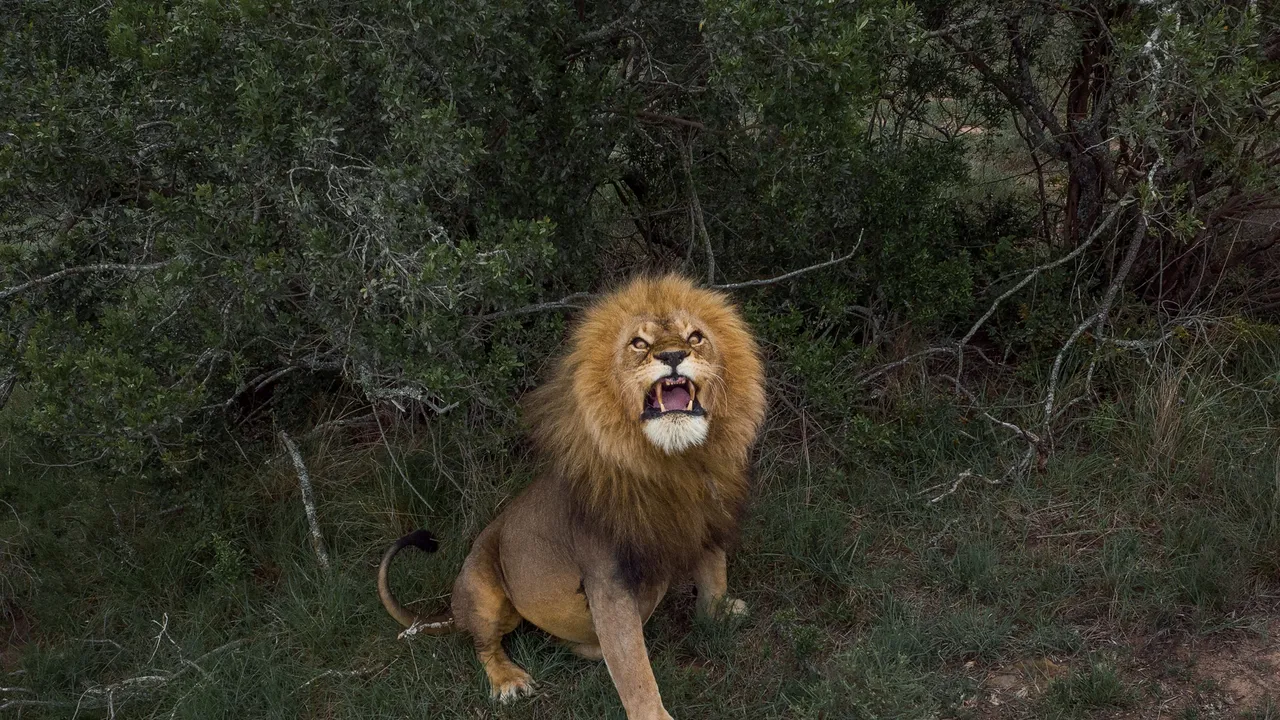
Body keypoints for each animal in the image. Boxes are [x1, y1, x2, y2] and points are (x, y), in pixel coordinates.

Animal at [377, 274, 766, 719]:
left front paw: (718, 614)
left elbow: (714, 574)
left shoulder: (704, 521)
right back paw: (508, 680)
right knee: (483, 644)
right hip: (482, 585)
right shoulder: (607, 579)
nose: (672, 355)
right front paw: (653, 714)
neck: (675, 462)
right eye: (639, 343)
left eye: (695, 337)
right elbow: (633, 667)